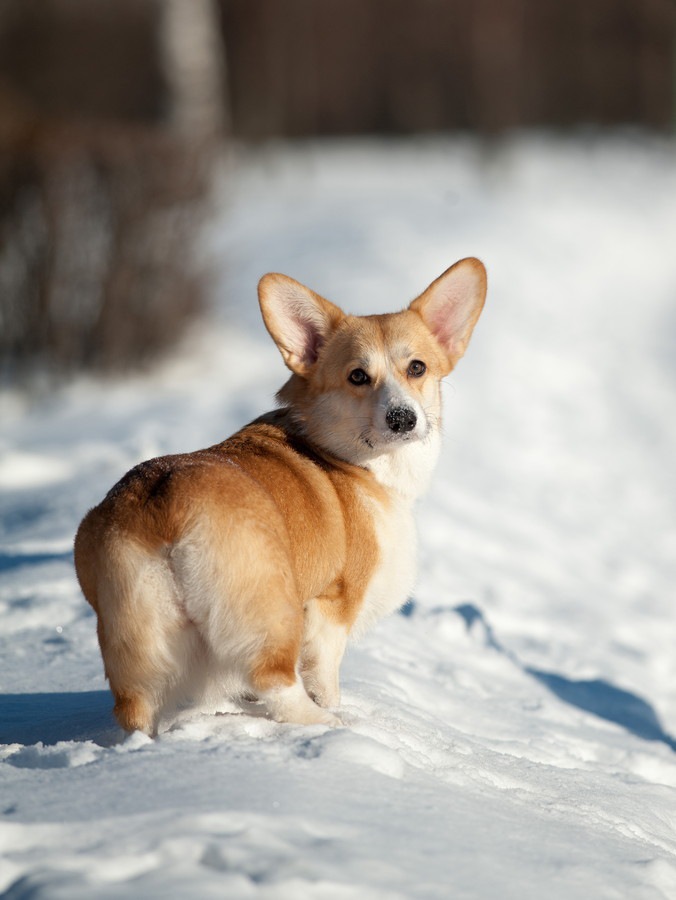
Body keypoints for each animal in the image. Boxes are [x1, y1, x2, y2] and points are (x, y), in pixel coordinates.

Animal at [74, 256, 486, 736]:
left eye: (417, 368)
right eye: (357, 376)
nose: (403, 418)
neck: (348, 457)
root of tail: (163, 505)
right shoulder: (331, 610)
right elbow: (325, 676)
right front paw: (335, 707)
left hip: (134, 638)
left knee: (136, 709)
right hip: (271, 611)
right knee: (275, 680)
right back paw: (329, 723)